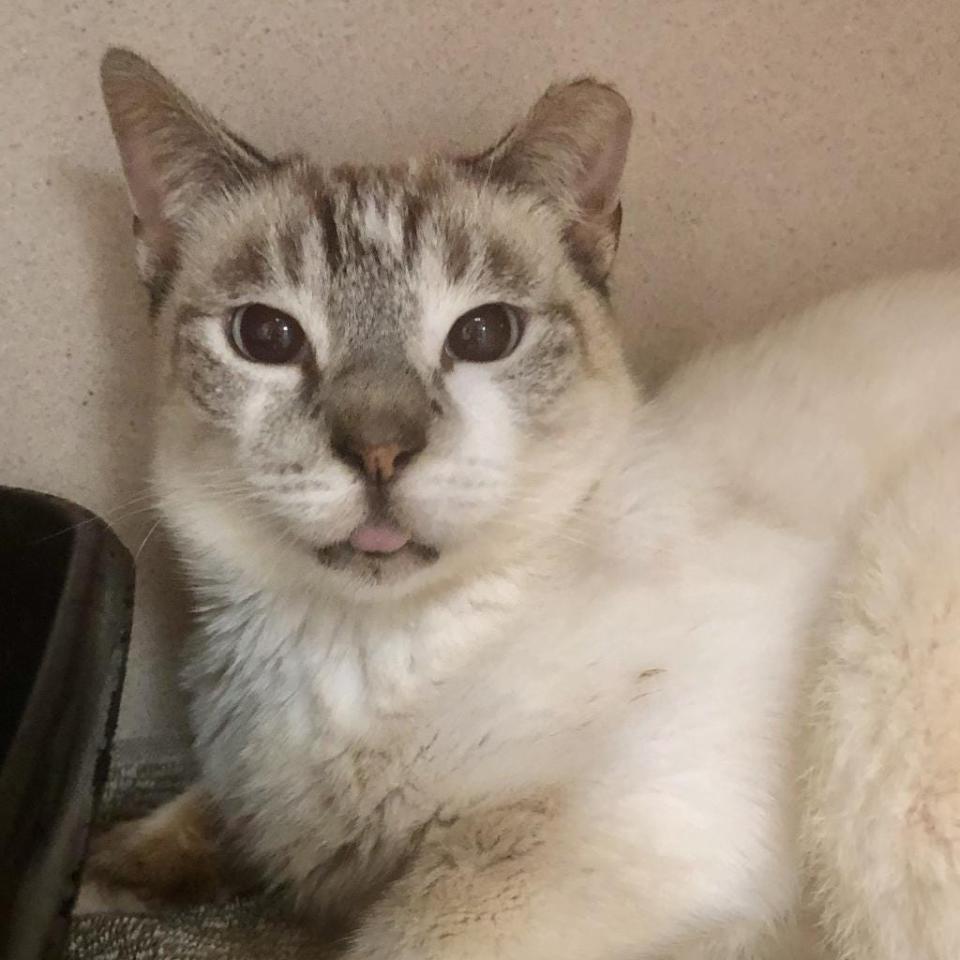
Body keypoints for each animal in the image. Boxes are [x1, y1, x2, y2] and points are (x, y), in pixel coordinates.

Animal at [82, 50, 960, 960]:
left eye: (482, 336)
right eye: (266, 338)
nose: (379, 453)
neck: (351, 651)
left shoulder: (597, 832)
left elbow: (401, 933)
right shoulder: (257, 797)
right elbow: (202, 817)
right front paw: (98, 874)